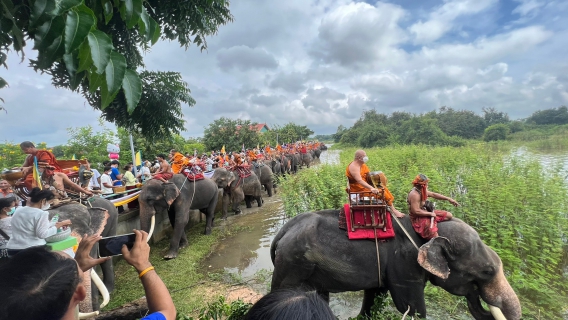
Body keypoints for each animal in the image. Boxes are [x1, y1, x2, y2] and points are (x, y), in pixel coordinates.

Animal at [270, 210, 520, 320]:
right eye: (487, 271)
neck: (426, 231)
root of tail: (281, 233)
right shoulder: (405, 264)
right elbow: (410, 306)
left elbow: (375, 294)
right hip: (291, 265)